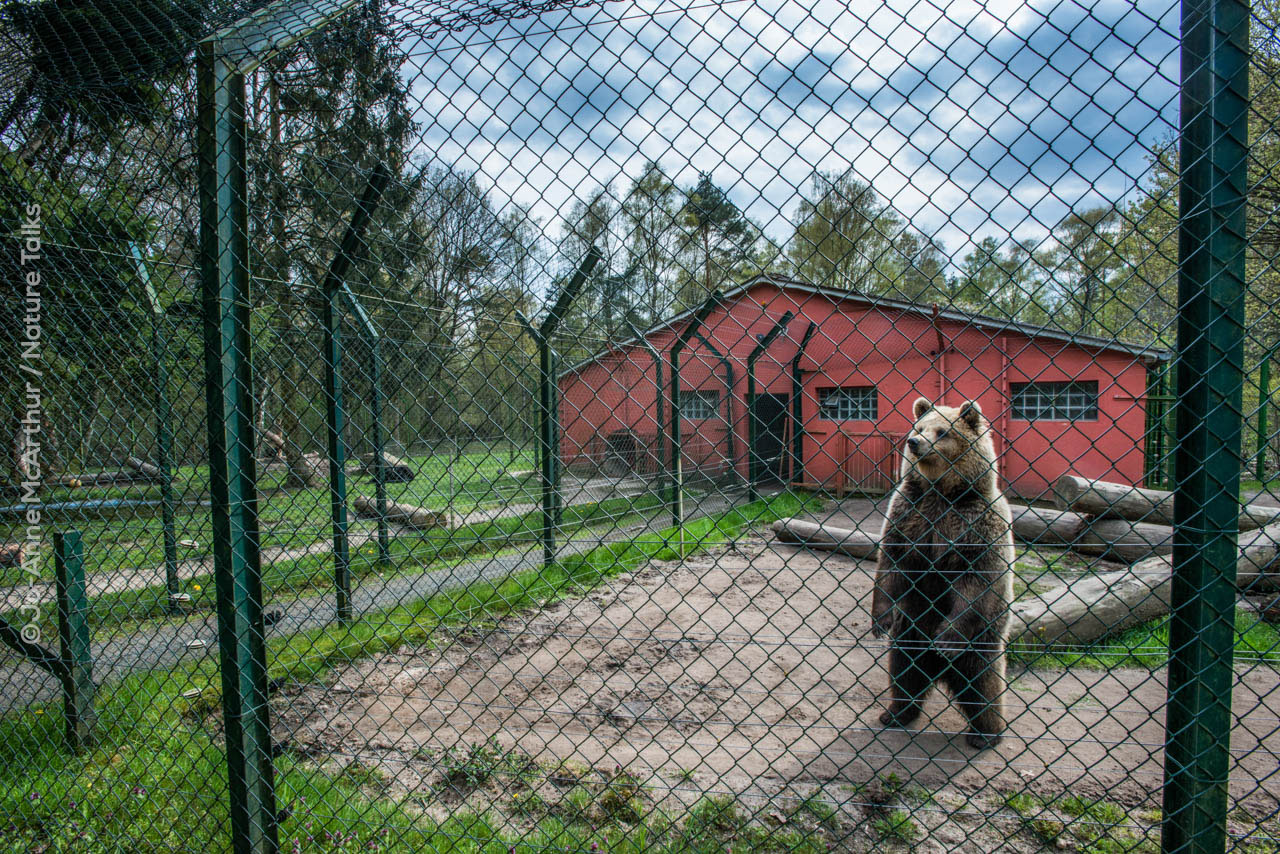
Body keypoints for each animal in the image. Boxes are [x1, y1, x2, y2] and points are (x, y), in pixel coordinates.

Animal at [875, 396, 1013, 747]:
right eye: (920, 427)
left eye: (943, 431)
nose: (914, 442)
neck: (943, 493)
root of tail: (940, 671)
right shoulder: (909, 514)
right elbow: (891, 564)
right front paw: (879, 620)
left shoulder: (976, 524)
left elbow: (976, 581)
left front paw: (947, 637)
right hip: (910, 634)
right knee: (905, 673)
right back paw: (896, 712)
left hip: (982, 641)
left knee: (983, 685)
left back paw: (986, 733)